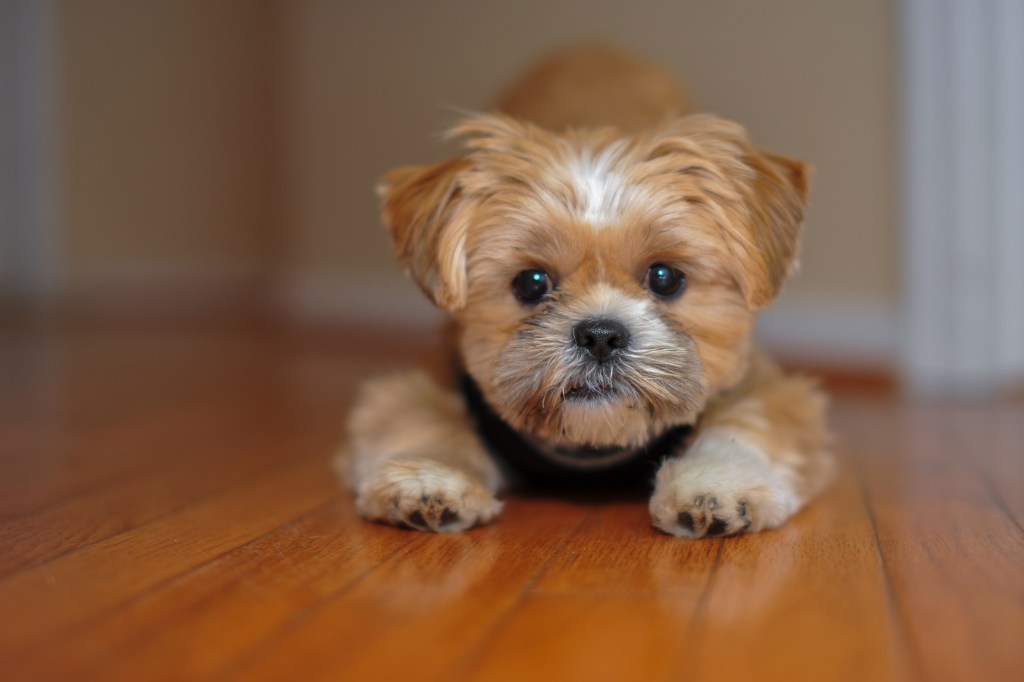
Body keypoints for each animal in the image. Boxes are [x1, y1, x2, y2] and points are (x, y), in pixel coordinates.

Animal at [335, 47, 831, 536]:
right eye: (530, 282)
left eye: (665, 277)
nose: (601, 336)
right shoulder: (434, 373)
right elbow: (422, 418)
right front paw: (429, 476)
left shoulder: (762, 383)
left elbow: (749, 420)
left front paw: (717, 482)